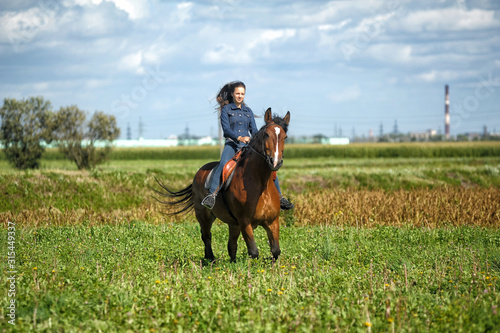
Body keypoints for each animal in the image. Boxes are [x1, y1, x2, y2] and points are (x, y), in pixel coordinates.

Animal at [155, 108, 290, 262]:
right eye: (266, 134)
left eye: (285, 137)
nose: (275, 162)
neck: (260, 186)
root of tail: (199, 172)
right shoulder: (245, 222)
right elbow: (254, 252)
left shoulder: (272, 222)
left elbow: (276, 251)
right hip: (204, 215)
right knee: (206, 236)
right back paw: (210, 259)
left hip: (233, 224)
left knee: (231, 245)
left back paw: (232, 262)